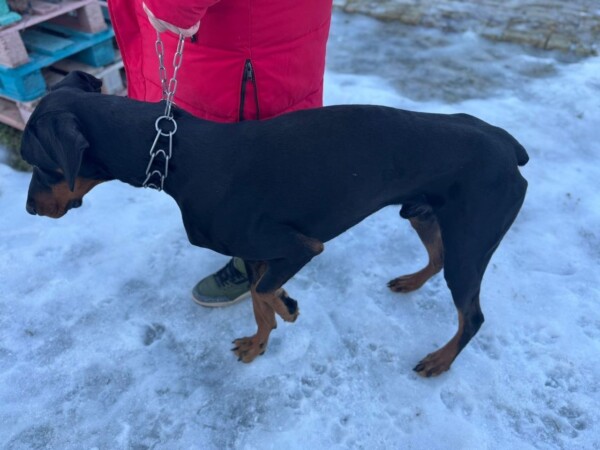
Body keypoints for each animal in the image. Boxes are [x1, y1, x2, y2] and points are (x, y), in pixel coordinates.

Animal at [21, 72, 528, 376]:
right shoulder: (255, 252)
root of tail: (508, 145)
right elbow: (257, 298)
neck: (178, 153)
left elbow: (263, 293)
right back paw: (411, 282)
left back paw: (440, 360)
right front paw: (262, 338)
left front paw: (285, 308)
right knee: (437, 257)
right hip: (425, 214)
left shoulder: (300, 245)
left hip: (471, 240)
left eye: (38, 163)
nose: (27, 211)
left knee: (472, 315)